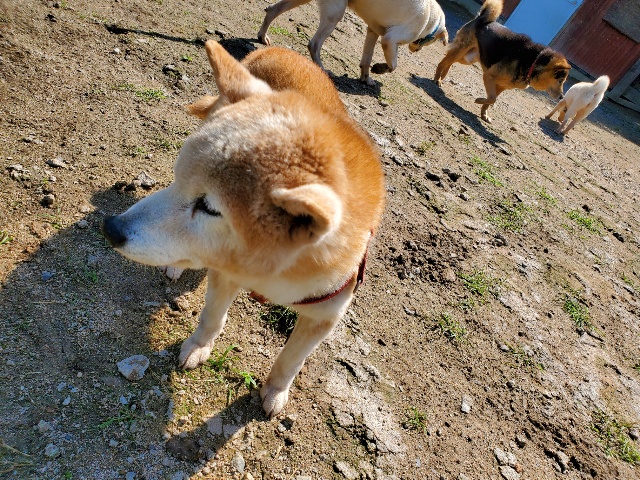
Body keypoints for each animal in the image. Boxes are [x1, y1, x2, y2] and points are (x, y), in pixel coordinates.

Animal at [101, 41, 385, 418]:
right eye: (178, 181)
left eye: (209, 208)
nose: (110, 228)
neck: (271, 275)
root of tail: (279, 48)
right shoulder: (225, 274)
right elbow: (212, 318)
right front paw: (198, 346)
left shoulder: (325, 317)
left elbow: (291, 360)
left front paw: (276, 391)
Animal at [257, 0, 448, 85]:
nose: (416, 51)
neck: (431, 21)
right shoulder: (390, 39)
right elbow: (393, 66)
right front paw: (380, 68)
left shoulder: (373, 32)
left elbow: (366, 59)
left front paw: (366, 78)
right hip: (335, 13)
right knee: (314, 44)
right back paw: (322, 69)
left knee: (273, 9)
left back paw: (262, 36)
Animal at [434, 0, 571, 122]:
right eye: (560, 80)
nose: (562, 97)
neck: (532, 62)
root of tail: (481, 18)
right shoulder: (489, 76)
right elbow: (492, 98)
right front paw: (479, 100)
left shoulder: (502, 86)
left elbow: (491, 100)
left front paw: (484, 114)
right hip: (461, 51)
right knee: (443, 62)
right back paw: (437, 79)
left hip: (468, 58)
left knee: (449, 61)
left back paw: (443, 75)